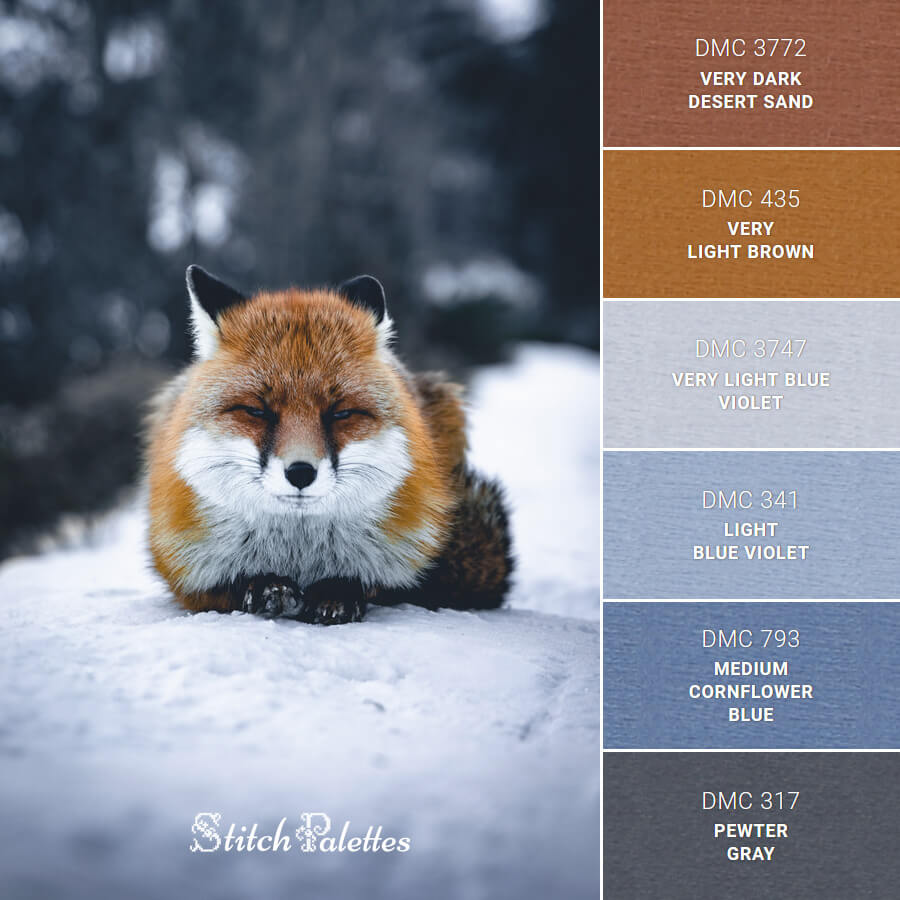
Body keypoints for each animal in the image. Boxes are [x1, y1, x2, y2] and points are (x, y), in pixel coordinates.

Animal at [145, 266, 513, 624]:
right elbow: (229, 585)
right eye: (256, 411)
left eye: (341, 413)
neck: (298, 554)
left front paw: (338, 593)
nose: (300, 473)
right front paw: (265, 586)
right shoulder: (185, 571)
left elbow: (371, 583)